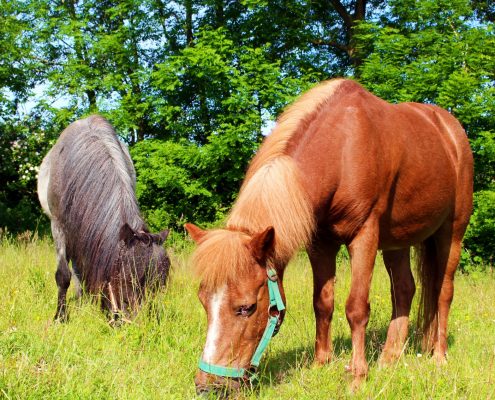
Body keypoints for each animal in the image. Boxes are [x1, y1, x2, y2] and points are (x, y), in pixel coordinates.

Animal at [185, 79, 472, 394]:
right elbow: (322, 304)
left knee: (443, 292)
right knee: (405, 289)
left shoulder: (364, 236)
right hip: (397, 241)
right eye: (203, 300)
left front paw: (357, 377)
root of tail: (450, 130)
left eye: (246, 307)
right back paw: (389, 358)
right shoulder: (321, 244)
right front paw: (320, 364)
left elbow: (356, 308)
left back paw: (439, 357)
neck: (341, 148)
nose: (208, 386)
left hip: (452, 234)